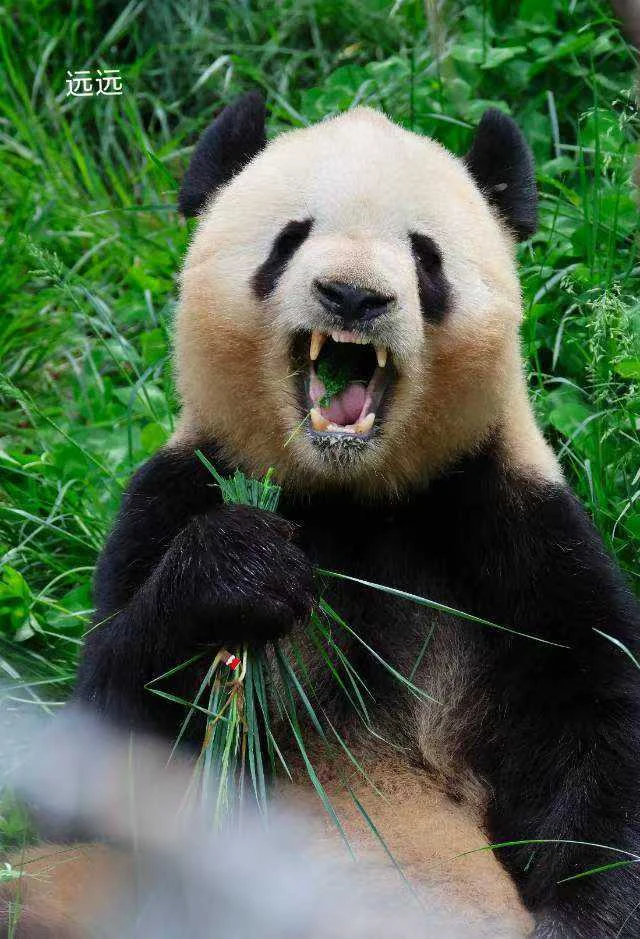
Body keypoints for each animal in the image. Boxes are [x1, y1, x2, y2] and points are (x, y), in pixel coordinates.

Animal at [8, 93, 640, 937]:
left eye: (425, 256)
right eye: (291, 237)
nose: (353, 295)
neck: (350, 495)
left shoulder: (512, 523)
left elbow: (592, 721)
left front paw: (585, 916)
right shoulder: (172, 493)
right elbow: (98, 764)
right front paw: (240, 569)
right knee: (54, 875)